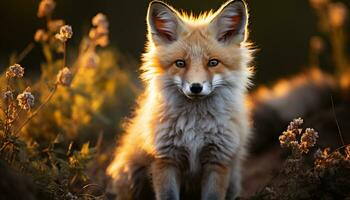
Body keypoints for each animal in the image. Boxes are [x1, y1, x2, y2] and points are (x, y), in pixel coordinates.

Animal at [105, 0, 253, 199]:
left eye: (213, 63)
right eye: (180, 63)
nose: (196, 87)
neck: (195, 128)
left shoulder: (218, 160)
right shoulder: (165, 160)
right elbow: (168, 194)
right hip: (131, 176)